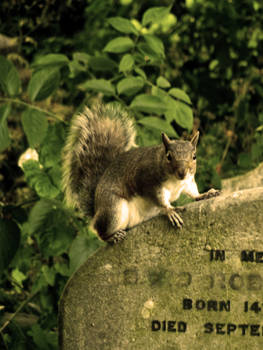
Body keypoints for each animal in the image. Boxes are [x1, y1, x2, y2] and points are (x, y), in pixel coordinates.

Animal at [62, 102, 221, 242]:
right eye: (168, 156)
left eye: (194, 156)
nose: (182, 172)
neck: (175, 181)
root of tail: (96, 210)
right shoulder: (148, 182)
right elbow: (159, 199)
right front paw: (169, 210)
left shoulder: (187, 181)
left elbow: (193, 191)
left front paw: (205, 194)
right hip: (114, 209)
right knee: (100, 231)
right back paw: (112, 236)